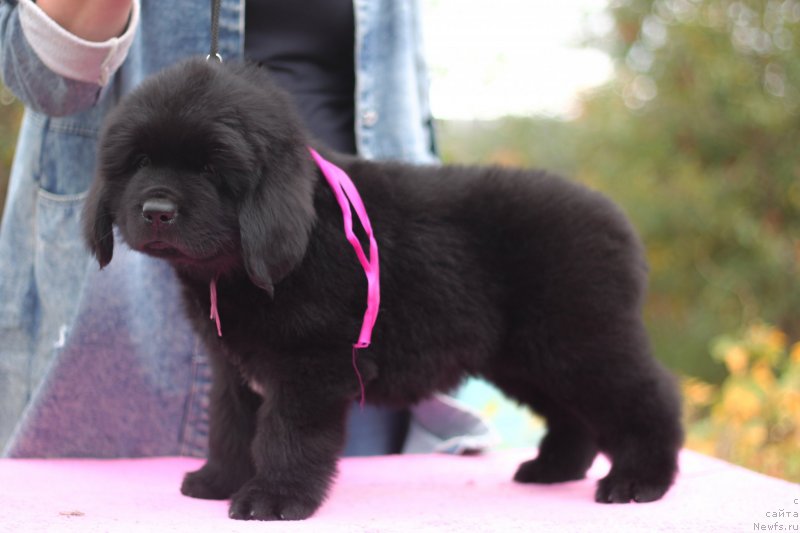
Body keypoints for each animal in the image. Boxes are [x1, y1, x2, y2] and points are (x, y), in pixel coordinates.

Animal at [79, 59, 680, 520]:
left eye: (209, 168)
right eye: (139, 161)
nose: (157, 210)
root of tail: (618, 221)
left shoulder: (312, 363)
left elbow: (286, 433)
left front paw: (273, 498)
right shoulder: (233, 364)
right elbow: (230, 424)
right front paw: (218, 479)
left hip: (579, 339)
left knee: (646, 394)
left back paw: (638, 481)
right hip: (527, 357)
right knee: (572, 413)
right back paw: (553, 468)